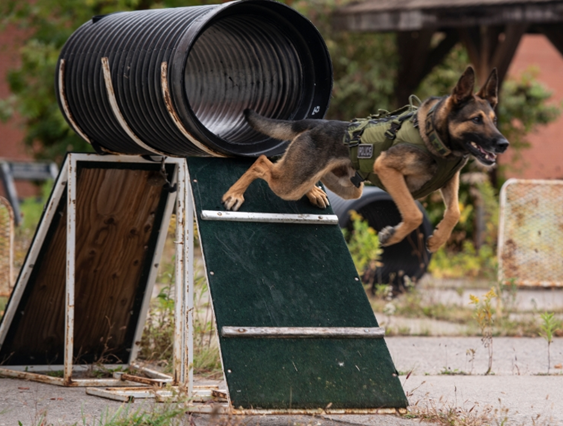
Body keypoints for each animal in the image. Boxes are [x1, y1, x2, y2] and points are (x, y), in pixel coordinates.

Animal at [223, 67, 508, 253]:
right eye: (476, 119)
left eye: (494, 120)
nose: (503, 144)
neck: (434, 136)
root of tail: (316, 123)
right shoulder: (387, 169)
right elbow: (414, 214)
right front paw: (392, 236)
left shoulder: (449, 181)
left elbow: (454, 212)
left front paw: (437, 240)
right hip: (290, 184)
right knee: (262, 162)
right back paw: (234, 194)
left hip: (348, 188)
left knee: (302, 175)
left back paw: (314, 193)